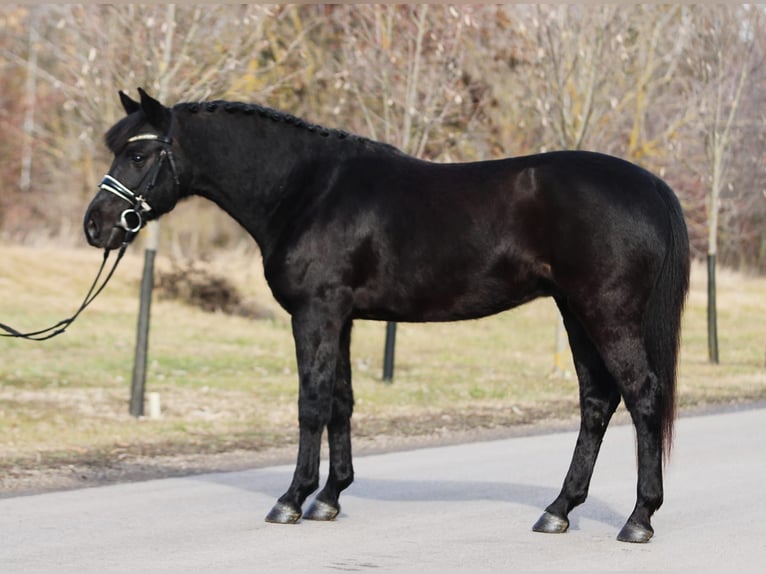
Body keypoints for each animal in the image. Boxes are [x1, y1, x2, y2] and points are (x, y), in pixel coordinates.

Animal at [82, 89, 688, 544]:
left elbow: (311, 402)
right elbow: (341, 403)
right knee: (597, 401)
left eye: (138, 155)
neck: (307, 190)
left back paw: (638, 519)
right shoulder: (342, 317)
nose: (97, 225)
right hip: (574, 312)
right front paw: (329, 497)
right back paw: (558, 509)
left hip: (604, 313)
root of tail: (652, 186)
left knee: (641, 396)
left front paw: (292, 499)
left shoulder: (316, 312)